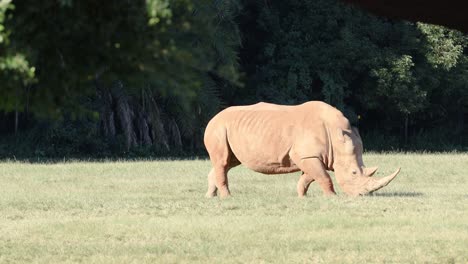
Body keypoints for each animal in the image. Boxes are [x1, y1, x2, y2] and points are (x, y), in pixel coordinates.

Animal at [203, 101, 400, 198]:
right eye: (353, 173)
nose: (361, 195)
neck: (337, 138)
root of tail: (213, 117)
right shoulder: (307, 155)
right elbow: (323, 176)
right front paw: (332, 196)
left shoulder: (312, 156)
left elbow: (310, 177)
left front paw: (302, 196)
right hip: (218, 129)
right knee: (222, 162)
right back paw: (228, 197)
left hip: (229, 129)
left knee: (228, 162)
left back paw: (210, 196)